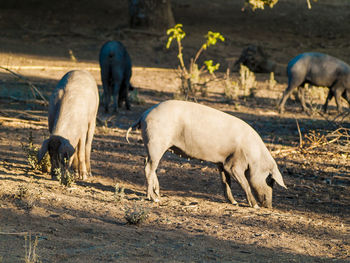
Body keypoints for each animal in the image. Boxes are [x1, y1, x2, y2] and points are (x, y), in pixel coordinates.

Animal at [127, 100, 286, 209]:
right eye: (270, 180)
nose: (269, 206)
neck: (255, 157)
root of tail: (143, 115)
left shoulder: (223, 163)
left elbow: (225, 182)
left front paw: (233, 202)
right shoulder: (235, 164)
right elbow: (245, 184)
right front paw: (254, 206)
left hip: (153, 146)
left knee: (149, 165)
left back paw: (158, 195)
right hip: (156, 142)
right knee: (149, 168)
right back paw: (154, 199)